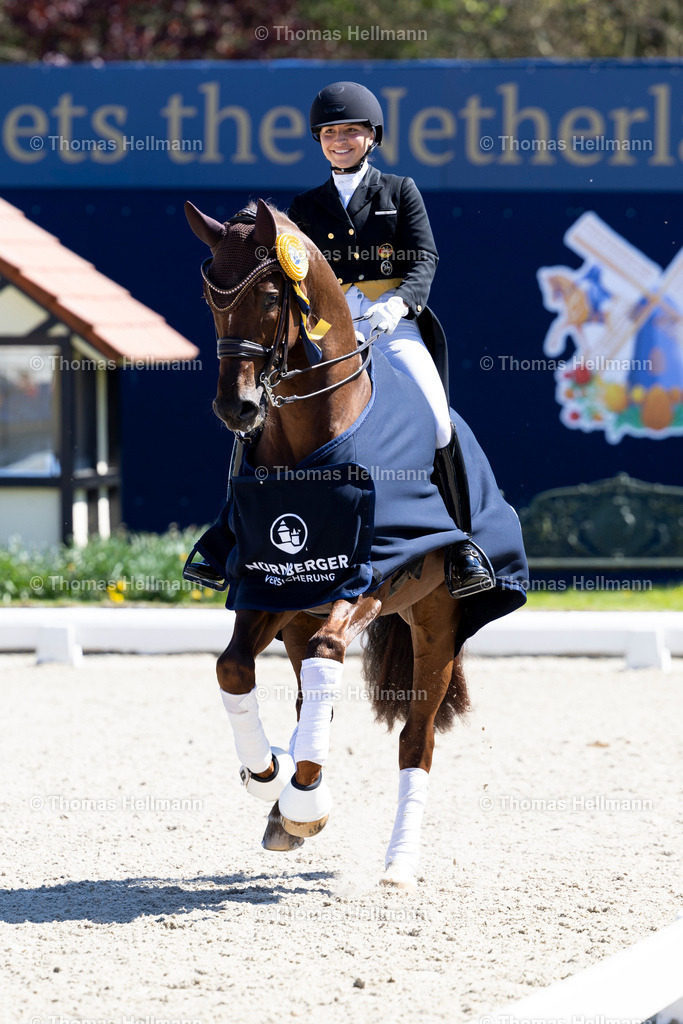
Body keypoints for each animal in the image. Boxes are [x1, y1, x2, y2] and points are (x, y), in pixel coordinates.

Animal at [183, 197, 527, 890]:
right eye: (210, 297)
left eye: (269, 296)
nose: (237, 409)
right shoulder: (268, 584)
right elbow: (233, 668)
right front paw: (269, 777)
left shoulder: (374, 577)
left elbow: (332, 653)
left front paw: (302, 801)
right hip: (299, 610)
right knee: (307, 692)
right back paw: (290, 795)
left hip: (435, 622)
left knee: (414, 739)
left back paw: (397, 861)